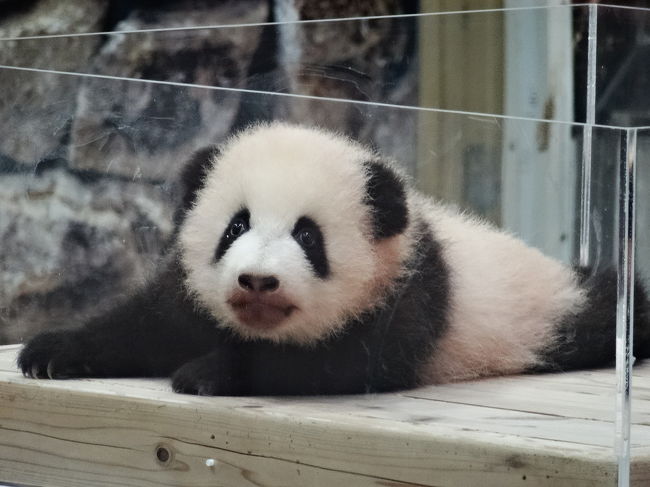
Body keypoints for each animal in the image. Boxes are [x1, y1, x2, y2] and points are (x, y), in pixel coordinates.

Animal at [16, 122, 650, 396]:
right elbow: (148, 323)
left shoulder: (408, 297)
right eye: (236, 226)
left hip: (555, 311)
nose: (257, 281)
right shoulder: (192, 292)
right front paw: (47, 352)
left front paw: (208, 373)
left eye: (308, 237)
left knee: (610, 305)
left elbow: (335, 365)